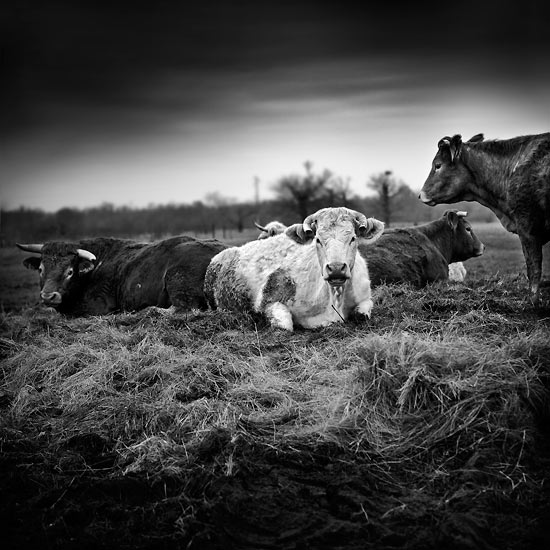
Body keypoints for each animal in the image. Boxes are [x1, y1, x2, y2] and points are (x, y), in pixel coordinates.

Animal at [17, 236, 227, 316]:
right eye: (41, 269)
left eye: (70, 271)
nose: (48, 296)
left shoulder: (97, 307)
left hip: (178, 282)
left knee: (182, 309)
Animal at [205, 208, 386, 332]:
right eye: (317, 240)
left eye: (353, 238)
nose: (336, 269)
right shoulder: (267, 300)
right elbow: (285, 325)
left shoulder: (365, 296)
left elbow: (362, 314)